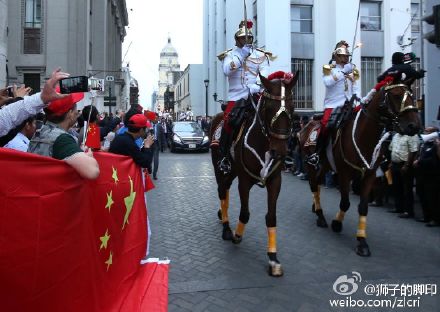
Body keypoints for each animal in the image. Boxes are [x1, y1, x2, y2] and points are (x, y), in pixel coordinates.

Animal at [210, 72, 300, 276]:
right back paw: (226, 228)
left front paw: (273, 258)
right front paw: (236, 235)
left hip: (232, 171)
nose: (280, 152)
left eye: (292, 106)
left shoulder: (275, 180)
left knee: (225, 191)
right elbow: (245, 213)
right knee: (222, 190)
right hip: (220, 167)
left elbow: (271, 217)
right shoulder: (244, 181)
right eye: (269, 108)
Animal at [300, 78, 422, 256]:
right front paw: (337, 223)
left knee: (317, 183)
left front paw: (362, 242)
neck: (363, 135)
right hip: (311, 164)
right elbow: (345, 203)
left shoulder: (369, 174)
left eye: (412, 95)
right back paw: (320, 216)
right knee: (314, 184)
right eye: (396, 95)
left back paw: (316, 208)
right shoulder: (344, 173)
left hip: (326, 165)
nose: (414, 126)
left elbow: (363, 207)